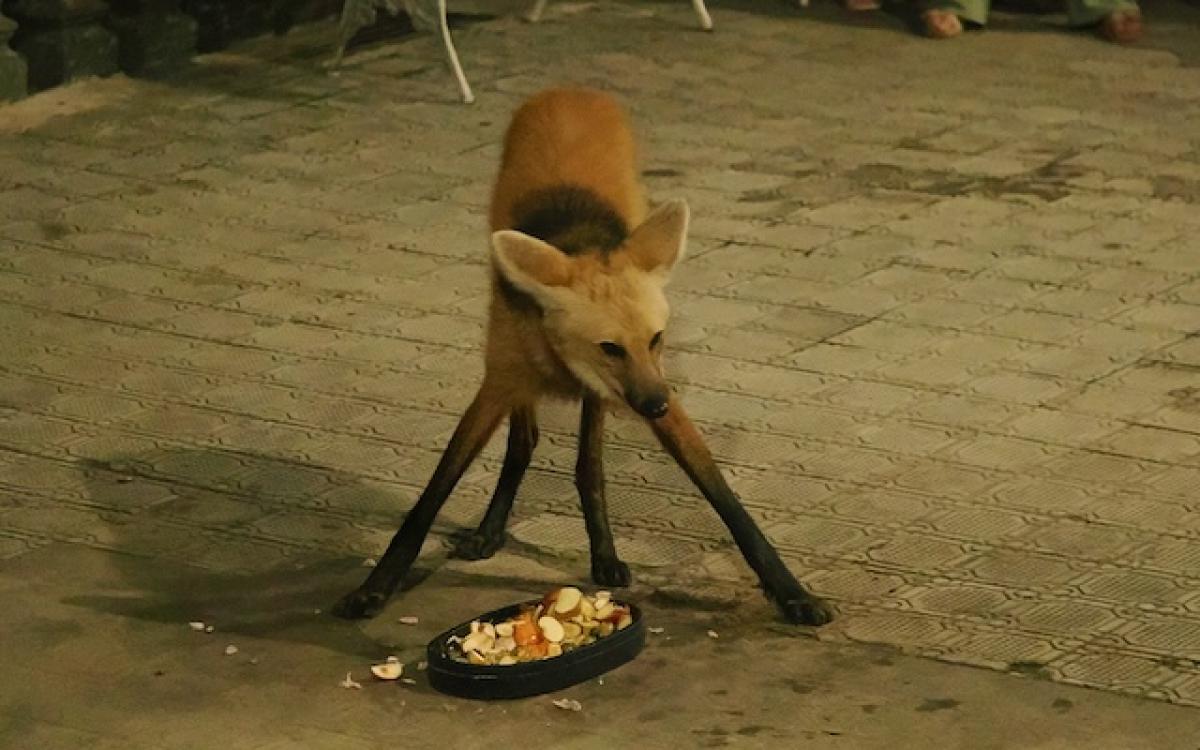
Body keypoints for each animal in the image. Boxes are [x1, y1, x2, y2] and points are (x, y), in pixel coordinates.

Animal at [333, 87, 833, 626]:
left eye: (656, 339)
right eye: (610, 347)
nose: (655, 405)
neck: (564, 366)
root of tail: (569, 91)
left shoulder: (647, 384)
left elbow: (725, 499)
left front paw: (793, 593)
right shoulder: (504, 378)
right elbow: (433, 492)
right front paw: (376, 587)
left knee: (587, 462)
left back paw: (604, 551)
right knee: (525, 440)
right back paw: (493, 529)